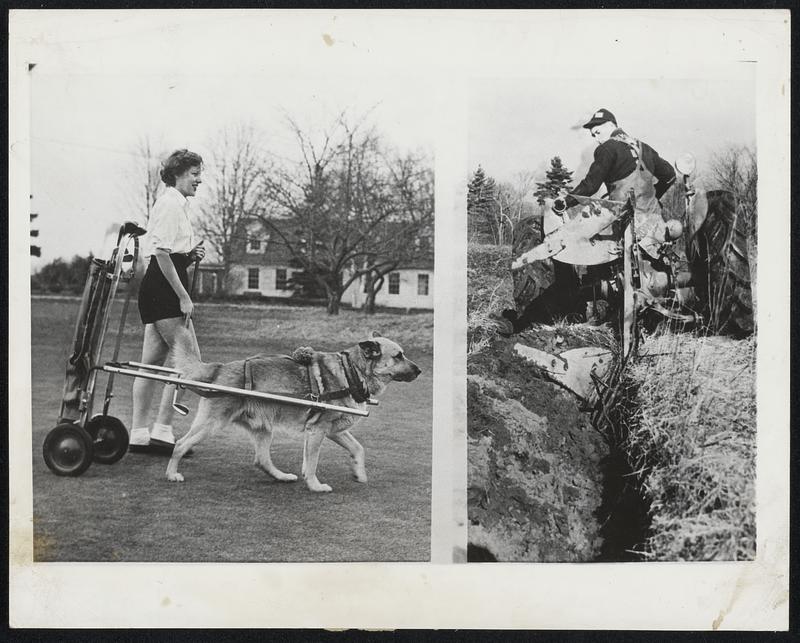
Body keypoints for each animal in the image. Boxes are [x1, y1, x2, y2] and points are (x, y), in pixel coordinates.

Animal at [166, 332, 422, 494]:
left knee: (262, 460)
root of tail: (220, 367)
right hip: (211, 424)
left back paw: (282, 476)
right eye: (398, 356)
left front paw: (359, 473)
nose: (420, 371)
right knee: (180, 444)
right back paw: (171, 474)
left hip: (263, 429)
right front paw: (315, 486)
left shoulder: (334, 431)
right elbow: (313, 462)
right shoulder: (318, 431)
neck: (352, 372)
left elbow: (358, 448)